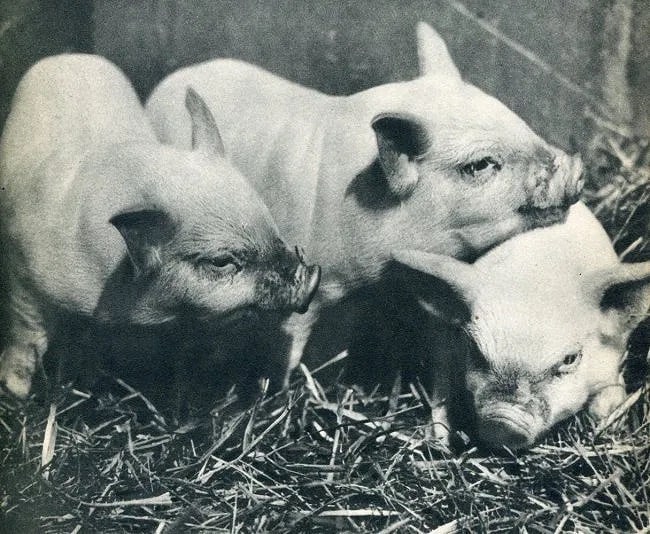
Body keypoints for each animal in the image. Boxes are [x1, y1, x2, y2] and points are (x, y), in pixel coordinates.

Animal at [0, 54, 320, 399]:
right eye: (222, 262)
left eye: (271, 224)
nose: (312, 274)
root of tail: (71, 55)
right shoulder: (24, 278)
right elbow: (27, 341)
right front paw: (14, 392)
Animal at [392, 202, 650, 450]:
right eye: (475, 351)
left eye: (570, 359)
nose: (502, 423)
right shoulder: (444, 344)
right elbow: (442, 388)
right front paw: (439, 439)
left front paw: (607, 422)